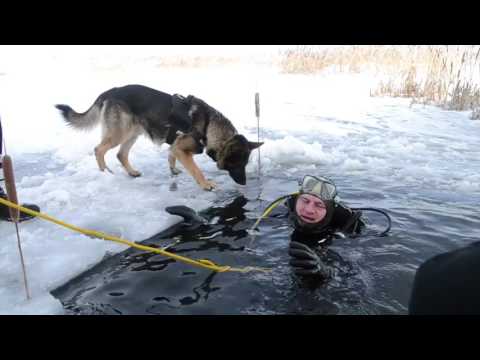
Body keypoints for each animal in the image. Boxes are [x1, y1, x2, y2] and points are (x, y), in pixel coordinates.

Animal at [55, 85, 262, 190]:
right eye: (237, 163)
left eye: (245, 164)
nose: (244, 183)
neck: (209, 125)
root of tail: (110, 91)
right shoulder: (181, 148)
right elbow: (196, 170)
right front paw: (205, 184)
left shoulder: (175, 146)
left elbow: (171, 156)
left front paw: (173, 170)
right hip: (120, 133)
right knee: (99, 149)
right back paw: (105, 173)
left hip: (134, 132)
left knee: (121, 154)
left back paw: (132, 172)